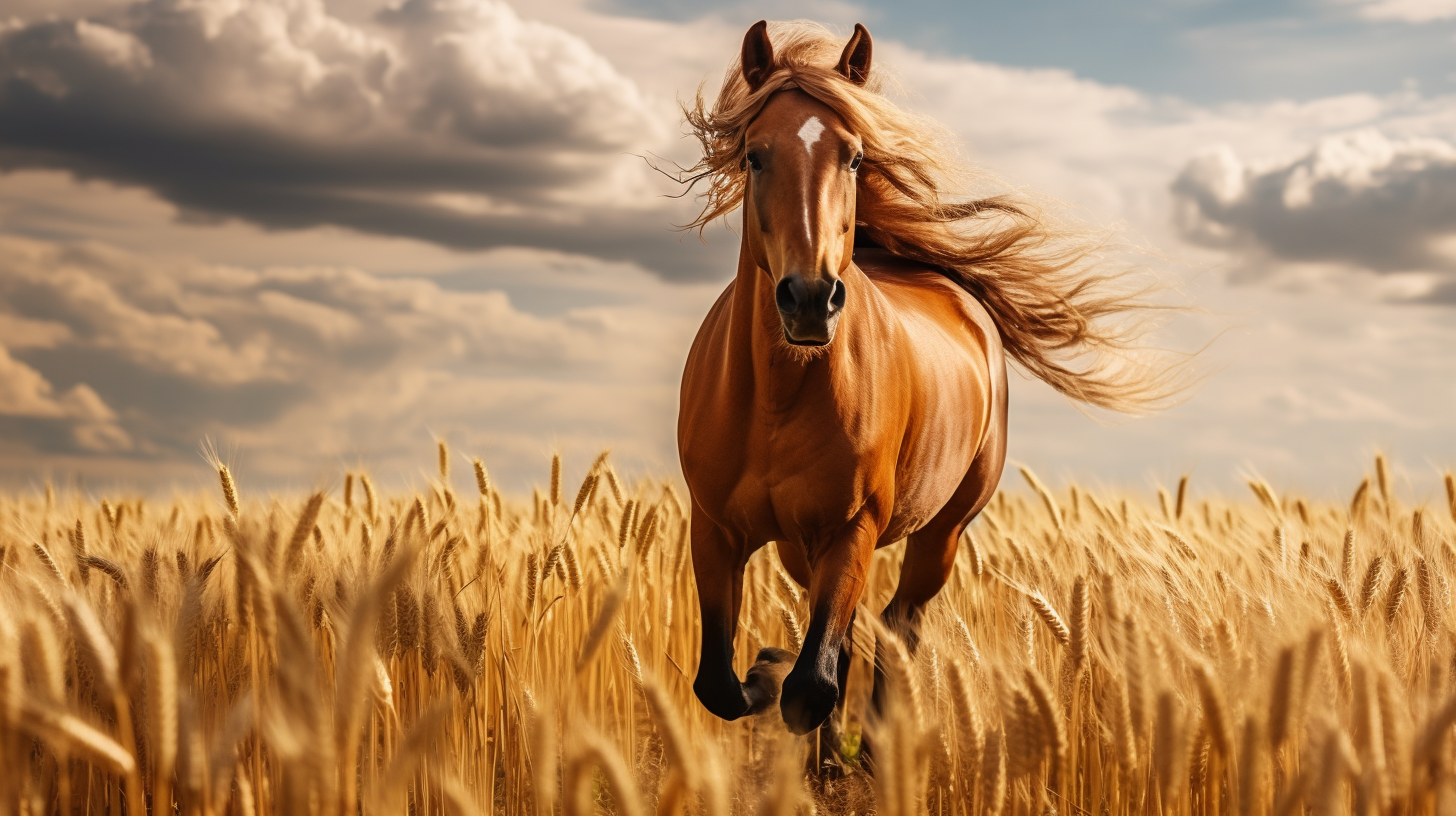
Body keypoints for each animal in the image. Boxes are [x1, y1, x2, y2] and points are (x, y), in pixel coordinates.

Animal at [678, 20, 1170, 734]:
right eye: (754, 155)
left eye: (854, 157)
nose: (809, 299)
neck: (776, 396)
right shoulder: (715, 530)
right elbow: (721, 684)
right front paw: (765, 673)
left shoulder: (850, 531)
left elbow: (810, 686)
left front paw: (779, 682)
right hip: (803, 549)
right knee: (858, 638)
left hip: (941, 534)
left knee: (895, 632)